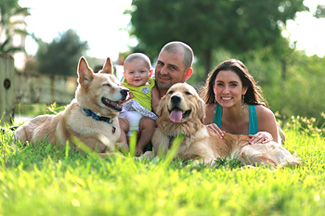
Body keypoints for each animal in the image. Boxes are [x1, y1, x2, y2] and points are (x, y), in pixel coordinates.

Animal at [151, 83, 300, 167]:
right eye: (170, 92)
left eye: (188, 93)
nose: (175, 98)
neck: (178, 131)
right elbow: (149, 155)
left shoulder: (207, 158)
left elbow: (190, 164)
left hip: (247, 150)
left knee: (274, 167)